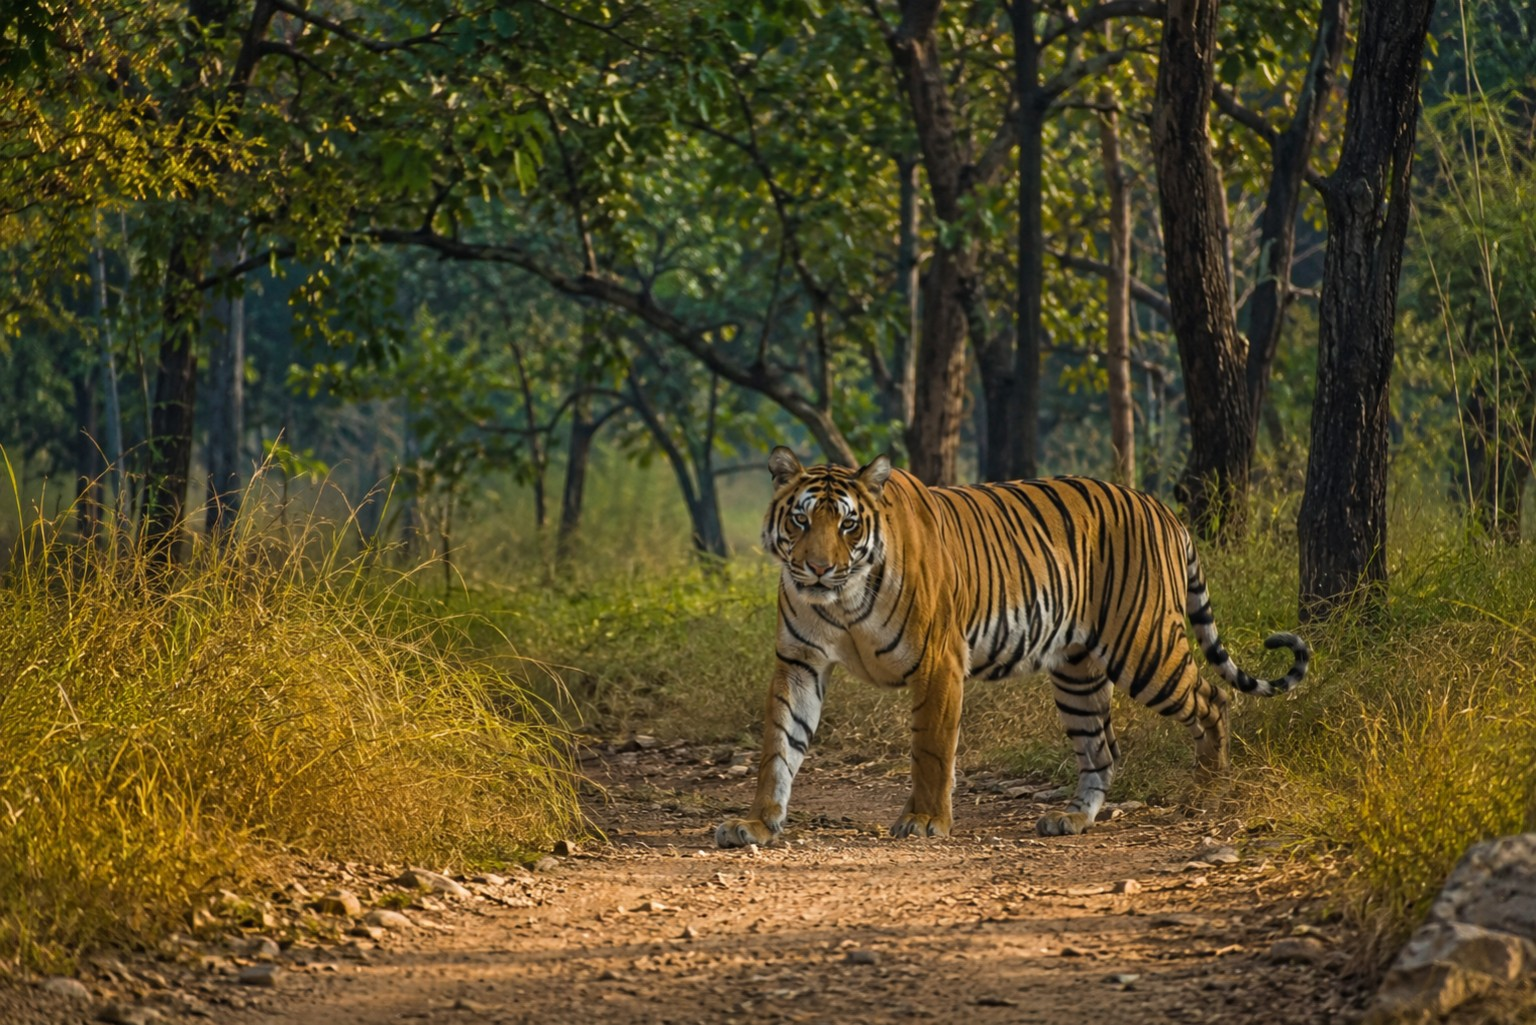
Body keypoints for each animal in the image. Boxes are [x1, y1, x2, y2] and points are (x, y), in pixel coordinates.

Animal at [714, 447, 1309, 847]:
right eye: (800, 520)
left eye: (847, 524)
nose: (816, 568)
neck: (841, 598)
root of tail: (1164, 510)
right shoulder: (799, 662)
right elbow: (778, 746)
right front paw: (756, 823)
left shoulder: (938, 662)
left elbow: (931, 749)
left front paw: (925, 820)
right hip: (1077, 672)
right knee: (1102, 749)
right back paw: (1072, 819)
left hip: (1145, 649)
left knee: (1213, 700)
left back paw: (1206, 795)